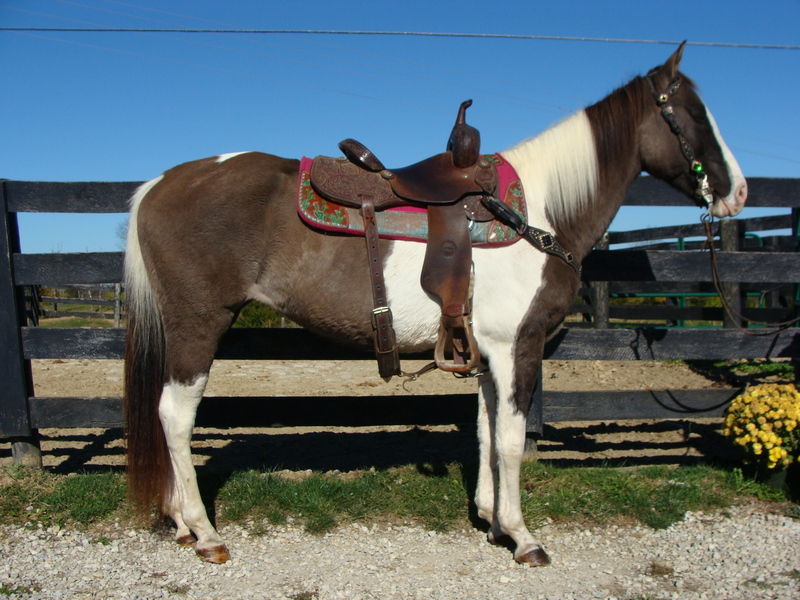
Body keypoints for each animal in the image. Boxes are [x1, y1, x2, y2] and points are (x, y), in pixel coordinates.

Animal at [123, 42, 747, 566]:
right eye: (692, 114)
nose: (737, 191)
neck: (539, 213)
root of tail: (158, 184)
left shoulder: (487, 352)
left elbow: (487, 430)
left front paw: (492, 520)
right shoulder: (517, 348)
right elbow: (511, 440)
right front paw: (523, 537)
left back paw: (180, 523)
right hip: (198, 325)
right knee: (175, 415)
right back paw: (205, 532)